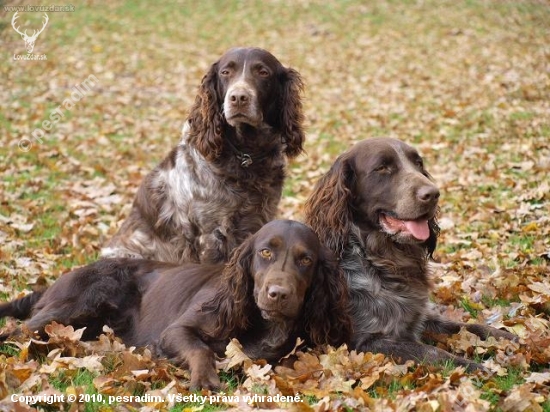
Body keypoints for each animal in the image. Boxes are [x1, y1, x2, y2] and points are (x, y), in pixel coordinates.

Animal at [1, 219, 354, 390]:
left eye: (305, 260)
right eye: (266, 252)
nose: (278, 293)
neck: (267, 323)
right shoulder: (176, 330)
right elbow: (200, 349)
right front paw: (205, 378)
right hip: (80, 300)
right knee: (18, 331)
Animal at [306, 138, 516, 370]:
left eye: (418, 163)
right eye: (382, 167)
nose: (433, 194)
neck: (382, 262)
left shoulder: (421, 317)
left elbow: (470, 327)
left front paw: (510, 338)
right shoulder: (364, 342)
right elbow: (433, 352)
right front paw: (476, 367)